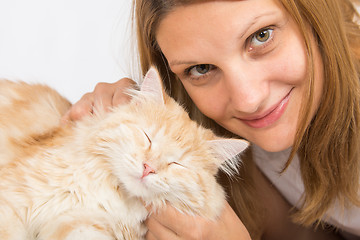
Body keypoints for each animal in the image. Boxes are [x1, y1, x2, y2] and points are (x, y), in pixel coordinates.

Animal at [0, 66, 249, 239]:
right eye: (147, 137)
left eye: (177, 164)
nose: (148, 168)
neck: (112, 192)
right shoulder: (12, 202)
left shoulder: (80, 224)